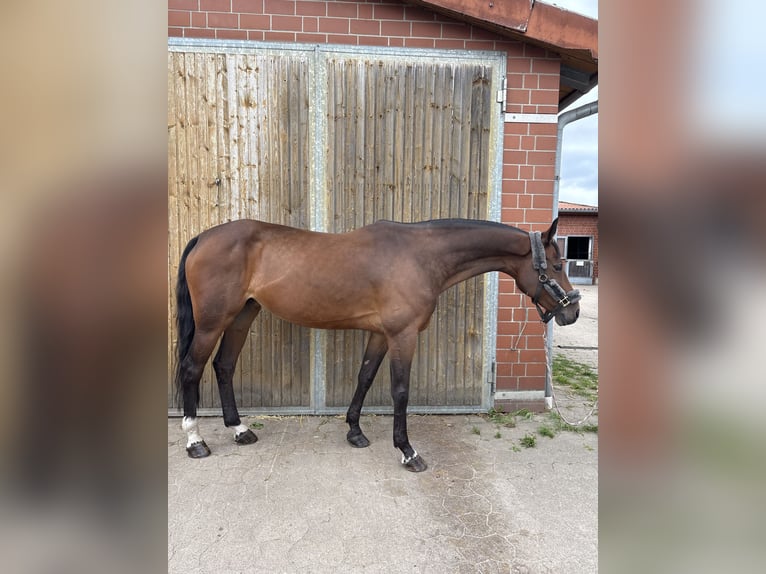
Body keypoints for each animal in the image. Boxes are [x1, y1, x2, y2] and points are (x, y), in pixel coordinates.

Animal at [174, 217, 580, 472]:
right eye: (556, 265)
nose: (572, 311)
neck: (420, 257)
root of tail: (203, 238)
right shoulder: (403, 335)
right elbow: (400, 391)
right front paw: (408, 452)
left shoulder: (380, 334)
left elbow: (365, 377)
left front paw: (355, 431)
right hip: (212, 322)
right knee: (193, 369)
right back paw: (195, 441)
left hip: (243, 315)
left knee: (224, 366)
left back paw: (240, 430)